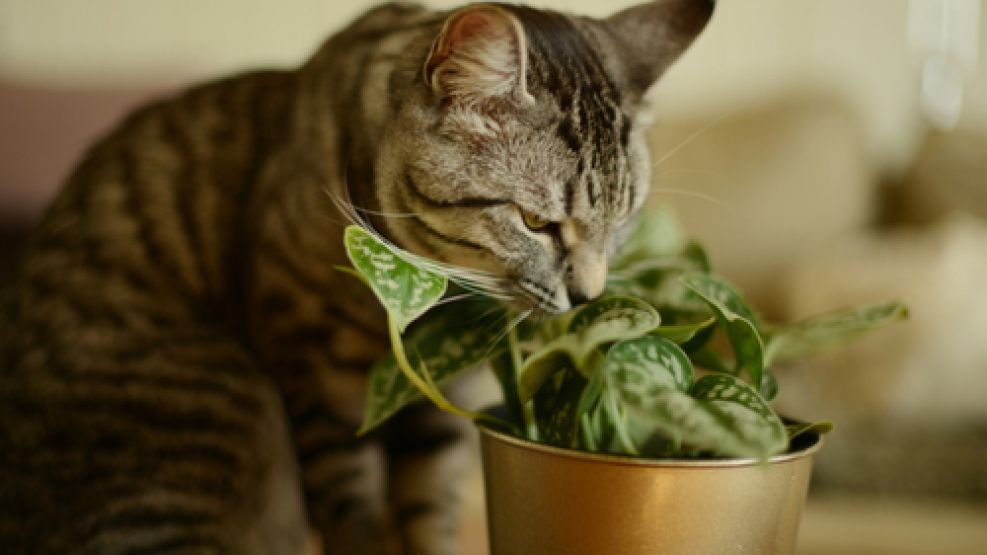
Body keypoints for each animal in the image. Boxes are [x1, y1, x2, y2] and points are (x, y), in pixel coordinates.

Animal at [0, 1, 712, 555]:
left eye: (623, 217)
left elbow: (427, 512)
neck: (414, 301)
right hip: (216, 407)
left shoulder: (440, 392)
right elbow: (351, 507)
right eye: (537, 222)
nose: (589, 294)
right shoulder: (315, 372)